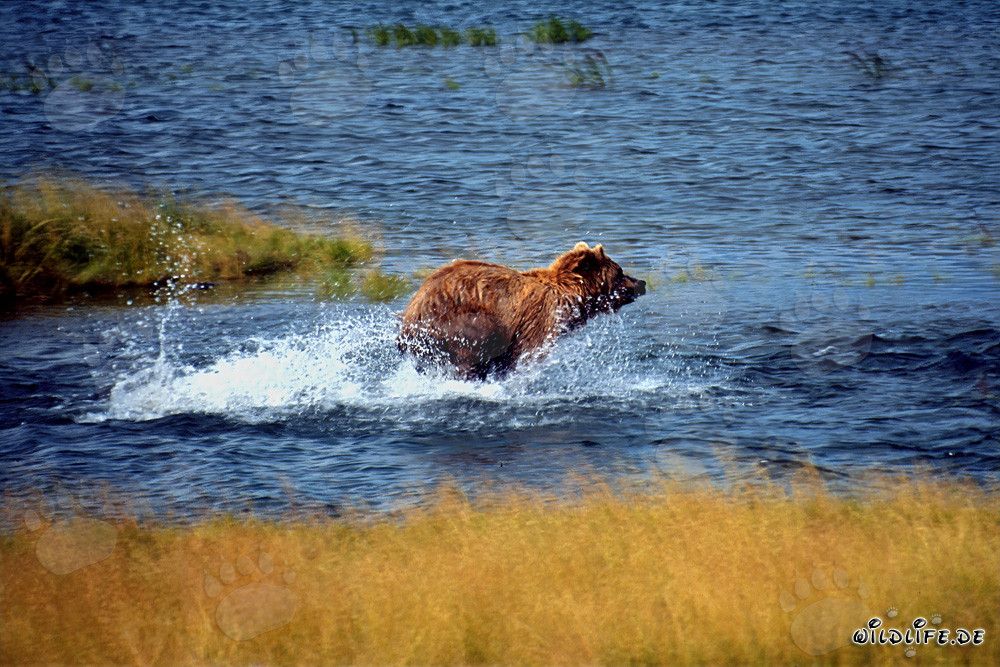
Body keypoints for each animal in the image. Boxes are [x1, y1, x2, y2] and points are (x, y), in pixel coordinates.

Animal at [397, 242, 645, 380]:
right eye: (619, 272)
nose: (642, 282)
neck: (569, 300)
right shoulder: (537, 321)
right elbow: (521, 354)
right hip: (457, 320)